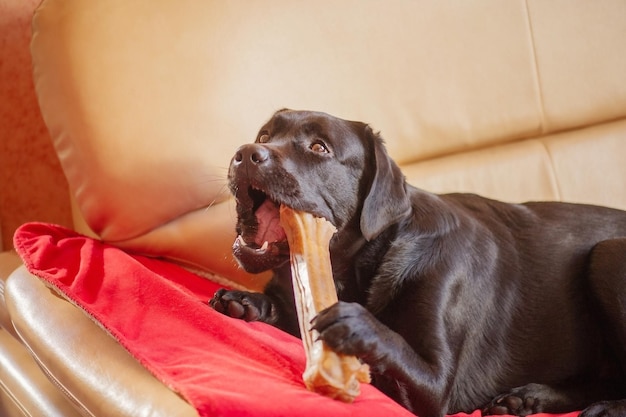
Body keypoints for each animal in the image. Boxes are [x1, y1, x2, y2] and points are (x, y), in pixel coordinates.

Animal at [210, 108, 624, 416]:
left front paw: (356, 323)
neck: (363, 268)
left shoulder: (436, 387)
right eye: (265, 135)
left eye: (319, 147)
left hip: (607, 254)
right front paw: (246, 301)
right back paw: (528, 398)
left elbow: (392, 345)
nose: (246, 153)